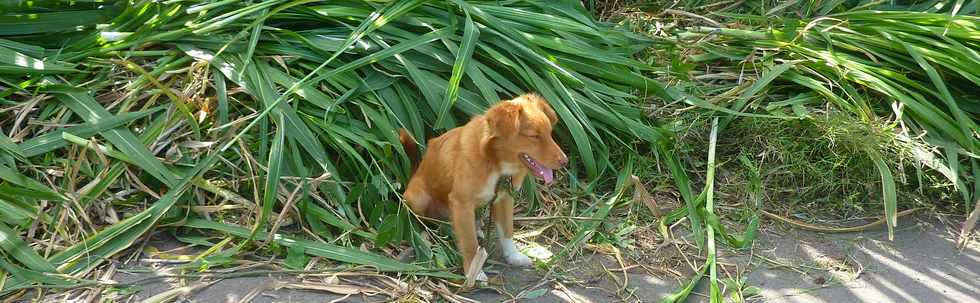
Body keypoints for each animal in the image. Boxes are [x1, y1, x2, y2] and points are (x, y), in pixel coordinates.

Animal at [398, 93, 568, 280]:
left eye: (550, 133)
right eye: (534, 136)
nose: (565, 161)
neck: (495, 163)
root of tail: (414, 175)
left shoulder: (504, 198)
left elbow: (507, 231)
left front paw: (513, 256)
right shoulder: (462, 203)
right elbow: (469, 243)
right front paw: (474, 271)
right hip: (418, 199)